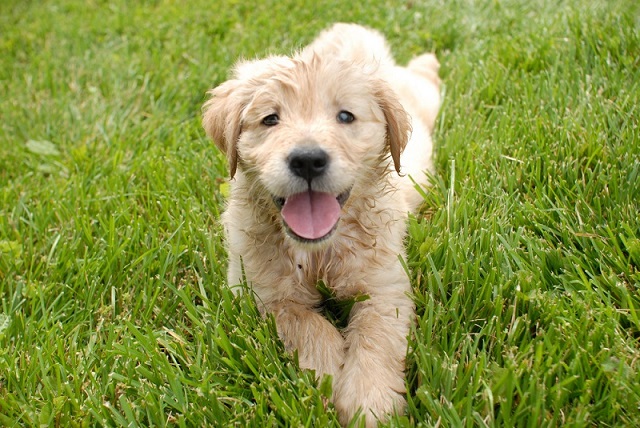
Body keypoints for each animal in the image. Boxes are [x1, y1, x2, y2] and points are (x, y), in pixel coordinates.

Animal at [204, 22, 440, 424]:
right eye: (270, 118)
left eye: (345, 116)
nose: (308, 160)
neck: (318, 252)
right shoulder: (260, 292)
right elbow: (307, 324)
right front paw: (328, 375)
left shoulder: (386, 286)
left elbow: (378, 335)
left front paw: (369, 402)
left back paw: (429, 60)